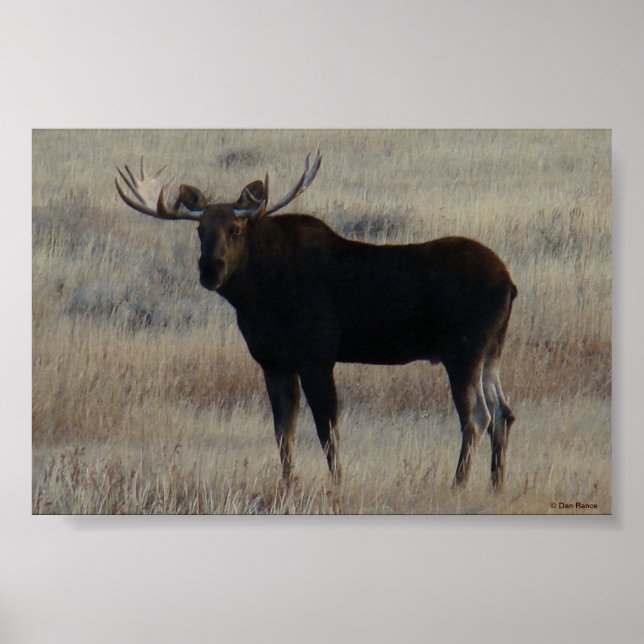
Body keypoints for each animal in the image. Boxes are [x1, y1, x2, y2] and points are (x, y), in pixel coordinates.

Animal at [115, 152, 517, 489]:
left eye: (236, 230)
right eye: (199, 231)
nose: (210, 270)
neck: (257, 295)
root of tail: (510, 284)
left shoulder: (317, 356)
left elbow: (327, 429)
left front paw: (338, 483)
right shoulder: (273, 362)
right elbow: (284, 430)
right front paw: (288, 483)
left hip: (463, 351)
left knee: (477, 416)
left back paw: (459, 484)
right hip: (492, 352)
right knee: (503, 412)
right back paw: (496, 485)